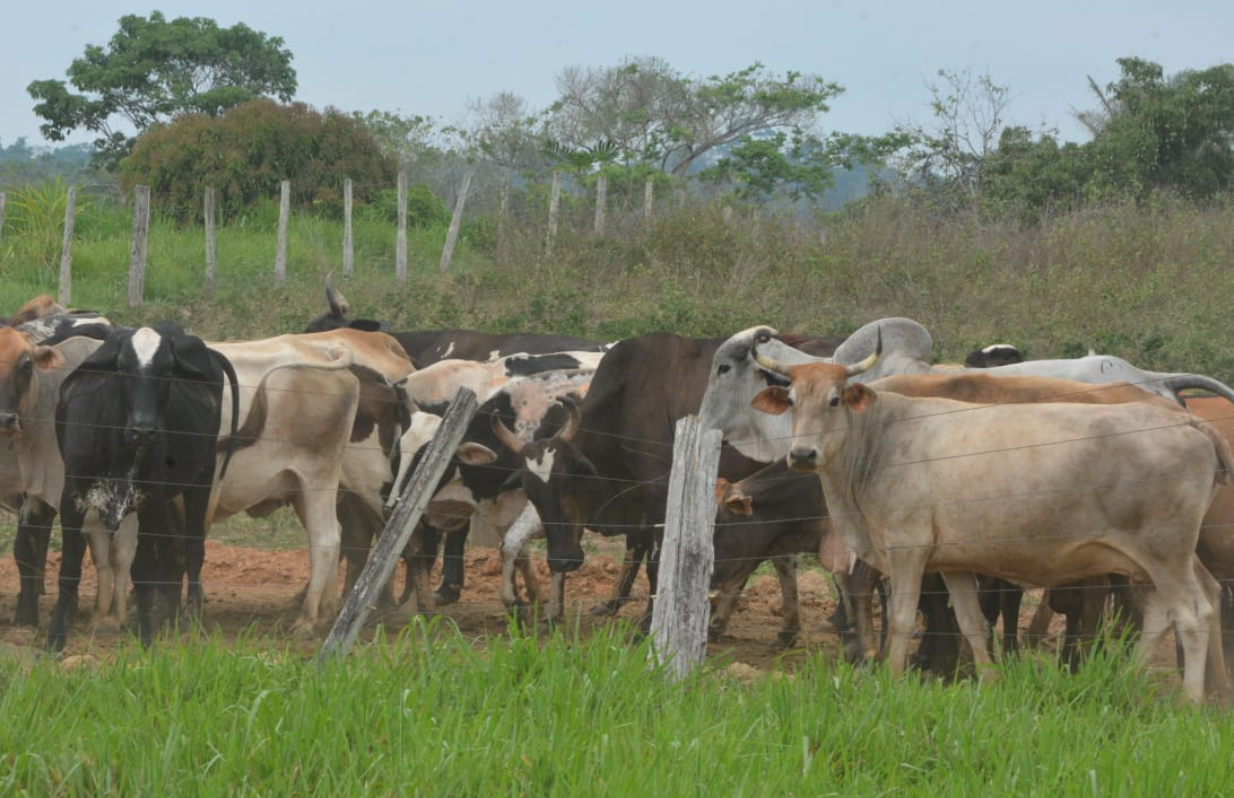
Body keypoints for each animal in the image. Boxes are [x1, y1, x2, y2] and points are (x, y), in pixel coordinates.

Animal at [50, 320, 239, 651]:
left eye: (167, 370)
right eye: (123, 367)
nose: (144, 429)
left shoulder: (149, 502)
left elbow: (142, 570)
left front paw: (146, 636)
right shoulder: (72, 498)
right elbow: (70, 568)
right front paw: (56, 637)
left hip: (201, 480)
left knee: (193, 549)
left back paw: (190, 619)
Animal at [745, 352, 1229, 700]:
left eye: (834, 399)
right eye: (791, 401)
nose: (802, 454)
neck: (883, 437)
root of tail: (1188, 419)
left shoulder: (906, 548)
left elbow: (901, 618)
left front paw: (891, 679)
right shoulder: (953, 561)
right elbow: (971, 621)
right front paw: (991, 682)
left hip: (1164, 551)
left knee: (1192, 612)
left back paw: (1190, 701)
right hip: (1167, 558)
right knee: (1185, 604)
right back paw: (1135, 681)